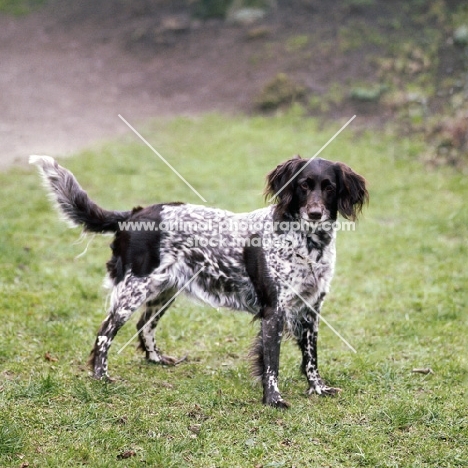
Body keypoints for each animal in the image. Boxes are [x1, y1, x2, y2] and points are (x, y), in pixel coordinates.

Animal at [31, 154, 370, 406]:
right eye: (302, 186)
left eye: (329, 187)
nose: (314, 213)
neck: (309, 244)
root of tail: (135, 213)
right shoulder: (274, 310)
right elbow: (271, 363)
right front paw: (273, 399)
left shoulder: (310, 308)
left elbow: (311, 358)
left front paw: (318, 389)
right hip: (134, 289)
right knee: (105, 332)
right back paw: (101, 376)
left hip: (164, 290)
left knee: (144, 325)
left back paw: (156, 360)